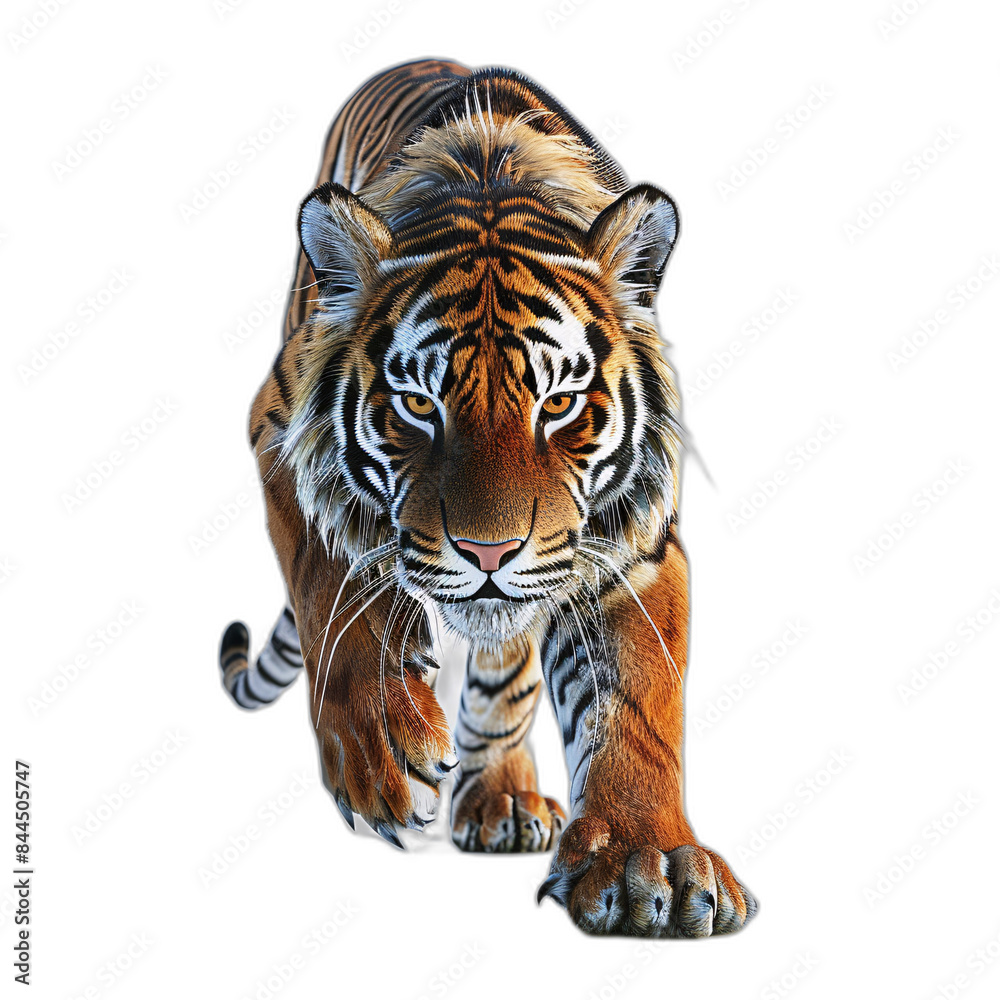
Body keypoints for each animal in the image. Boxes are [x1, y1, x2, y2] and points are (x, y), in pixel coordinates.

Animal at [218, 58, 757, 938]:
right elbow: (329, 581)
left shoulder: (633, 544)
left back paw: (502, 799)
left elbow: (637, 701)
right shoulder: (277, 428)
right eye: (418, 405)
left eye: (559, 404)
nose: (489, 552)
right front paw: (381, 753)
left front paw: (654, 864)